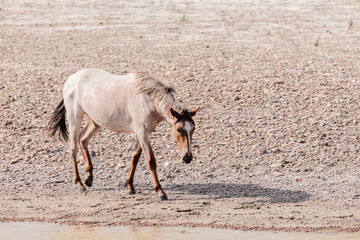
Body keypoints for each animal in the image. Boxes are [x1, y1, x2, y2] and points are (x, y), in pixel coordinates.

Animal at [47, 69, 200, 201]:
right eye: (179, 129)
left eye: (193, 129)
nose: (187, 157)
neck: (147, 99)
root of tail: (71, 78)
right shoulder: (142, 132)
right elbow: (151, 161)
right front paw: (160, 192)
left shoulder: (143, 132)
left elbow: (135, 157)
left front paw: (130, 186)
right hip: (75, 118)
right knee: (73, 147)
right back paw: (79, 184)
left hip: (95, 122)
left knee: (83, 140)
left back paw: (89, 178)